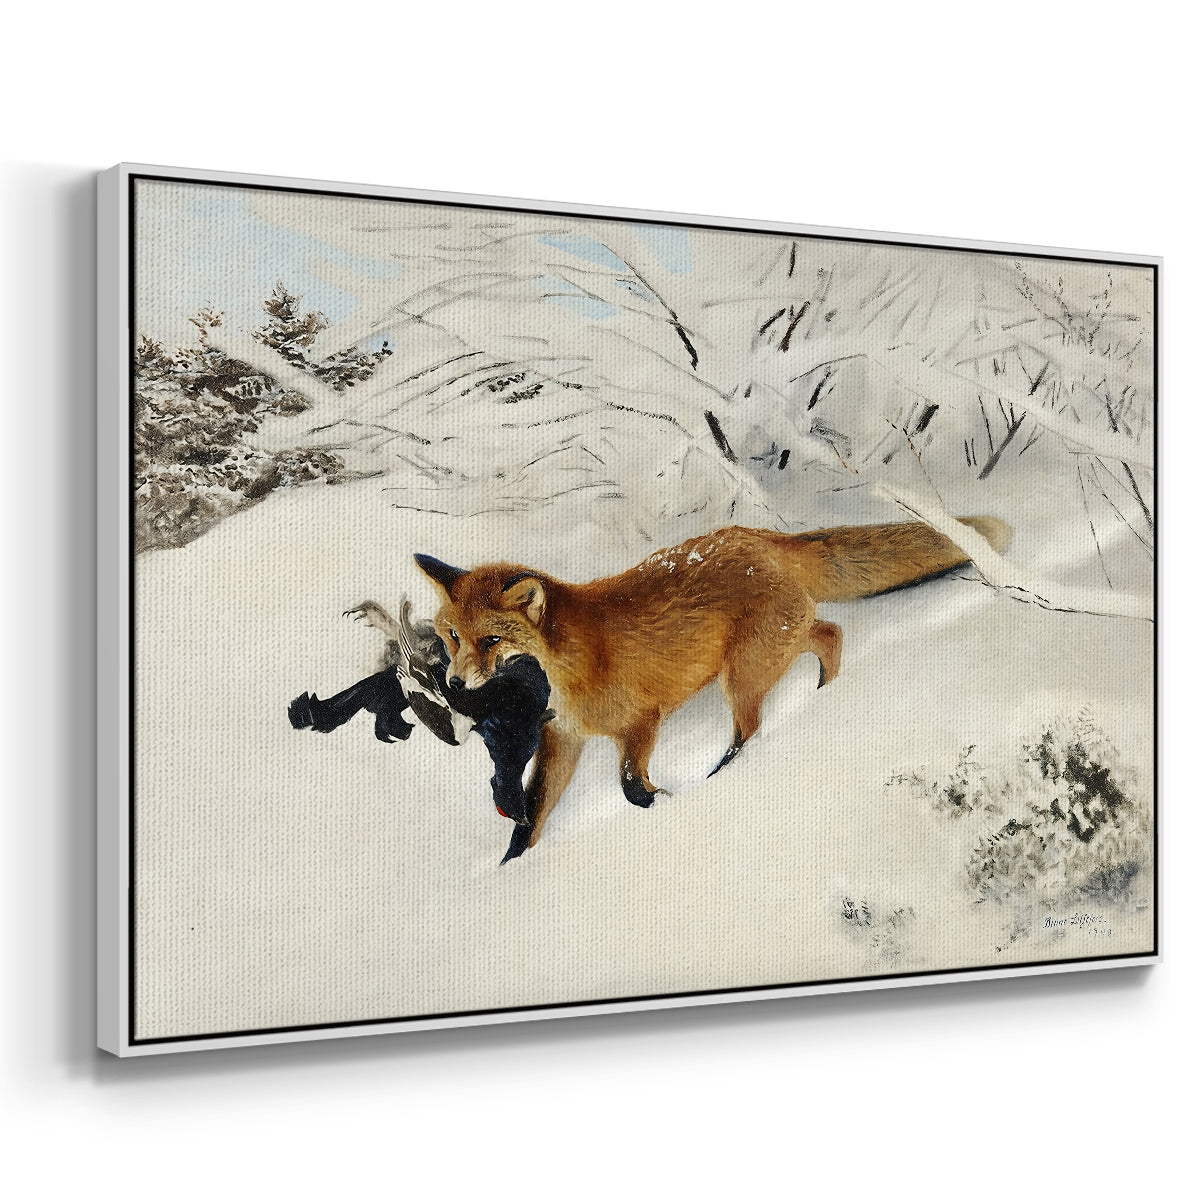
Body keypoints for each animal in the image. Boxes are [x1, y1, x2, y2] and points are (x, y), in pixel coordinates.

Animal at [414, 515, 1012, 861]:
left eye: (491, 640)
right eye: (453, 636)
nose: (454, 681)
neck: (571, 665)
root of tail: (758, 537)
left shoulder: (641, 721)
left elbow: (630, 786)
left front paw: (664, 802)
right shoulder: (565, 737)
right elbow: (533, 816)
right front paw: (513, 869)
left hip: (742, 674)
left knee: (757, 721)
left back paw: (727, 772)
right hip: (771, 651)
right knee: (829, 633)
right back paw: (824, 693)